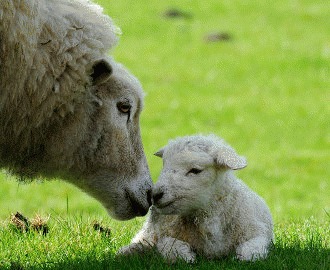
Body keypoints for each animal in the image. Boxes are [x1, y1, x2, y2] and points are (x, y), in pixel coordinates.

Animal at [118, 135, 274, 262]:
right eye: (164, 166)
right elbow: (169, 244)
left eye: (195, 170)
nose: (155, 195)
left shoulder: (256, 233)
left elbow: (250, 251)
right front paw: (186, 257)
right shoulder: (164, 235)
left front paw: (243, 258)